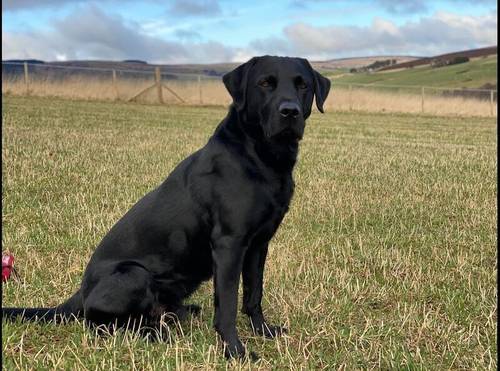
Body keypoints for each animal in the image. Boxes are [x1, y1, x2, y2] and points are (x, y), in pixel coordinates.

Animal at [3, 56, 332, 360]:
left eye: (302, 85)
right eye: (265, 83)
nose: (289, 111)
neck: (261, 158)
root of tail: (80, 292)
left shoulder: (258, 244)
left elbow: (253, 295)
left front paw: (263, 332)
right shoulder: (229, 244)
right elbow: (227, 305)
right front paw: (235, 351)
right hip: (134, 275)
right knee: (101, 323)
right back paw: (155, 333)